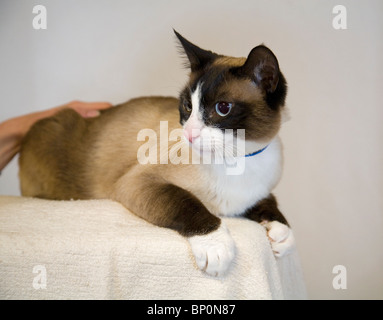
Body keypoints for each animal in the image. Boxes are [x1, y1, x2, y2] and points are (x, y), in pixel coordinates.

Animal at [18, 30, 296, 278]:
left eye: (223, 108)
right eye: (187, 106)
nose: (190, 134)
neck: (238, 159)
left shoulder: (255, 194)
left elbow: (271, 205)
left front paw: (280, 234)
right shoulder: (140, 182)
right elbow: (187, 203)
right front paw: (216, 247)